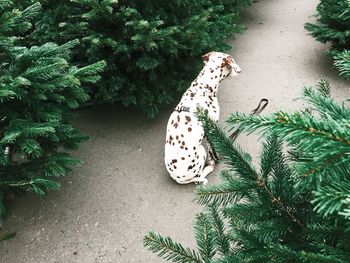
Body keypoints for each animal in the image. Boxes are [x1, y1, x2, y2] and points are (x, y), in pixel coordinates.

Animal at [163, 51, 241, 186]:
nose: (240, 71)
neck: (203, 88)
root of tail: (178, 179)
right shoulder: (211, 128)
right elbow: (212, 150)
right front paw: (215, 158)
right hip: (201, 151)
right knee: (199, 177)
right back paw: (209, 167)